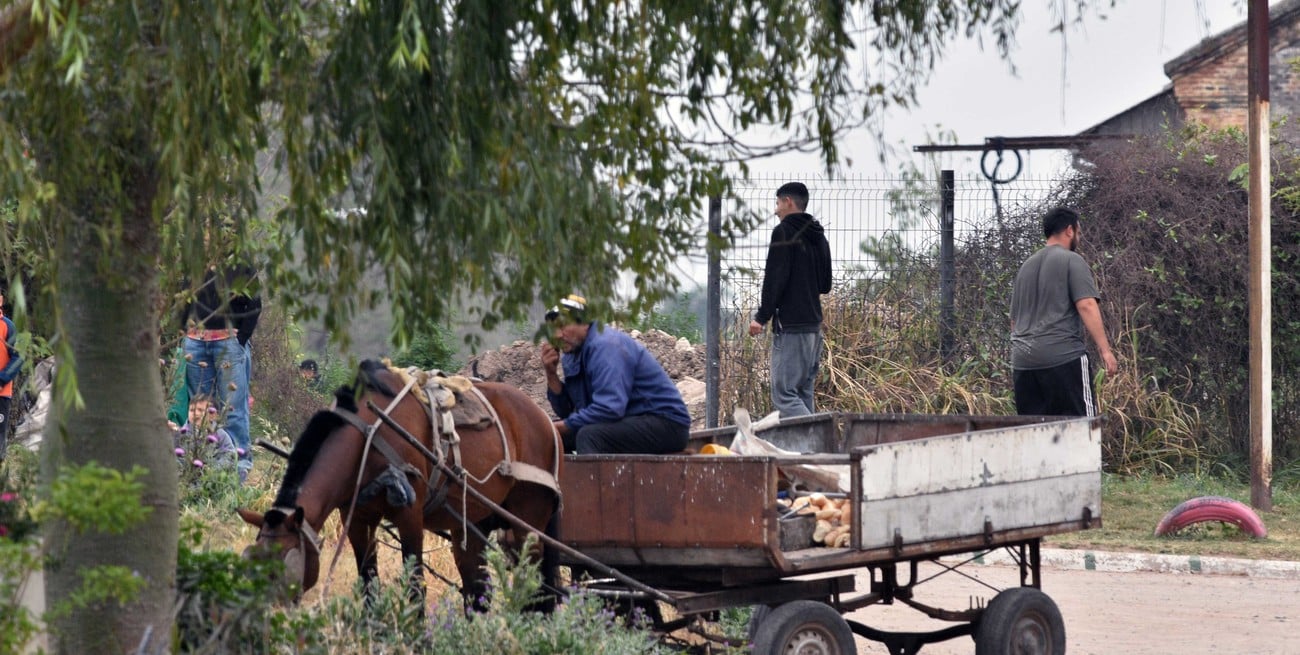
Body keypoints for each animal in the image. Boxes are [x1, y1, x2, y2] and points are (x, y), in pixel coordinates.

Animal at [236, 358, 561, 608]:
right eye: (251, 561)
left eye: (282, 568)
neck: (366, 436)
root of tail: (546, 421)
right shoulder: (357, 517)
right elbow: (368, 583)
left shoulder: (410, 514)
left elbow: (415, 586)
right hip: (473, 522)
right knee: (477, 590)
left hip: (528, 524)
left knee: (536, 588)